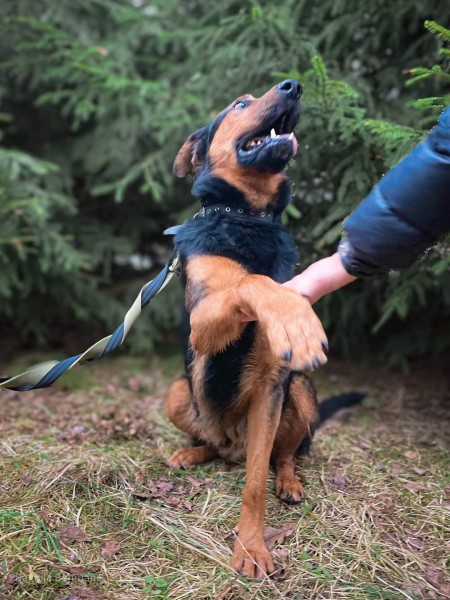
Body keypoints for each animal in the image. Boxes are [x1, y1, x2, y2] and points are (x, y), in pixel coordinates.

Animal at [165, 80, 341, 578]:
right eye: (240, 104)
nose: (293, 86)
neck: (248, 217)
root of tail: (231, 445)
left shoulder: (270, 388)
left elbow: (255, 483)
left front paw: (250, 547)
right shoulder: (203, 322)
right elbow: (250, 282)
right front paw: (293, 316)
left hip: (299, 391)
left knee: (284, 455)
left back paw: (290, 481)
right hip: (178, 393)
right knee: (210, 443)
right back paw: (192, 452)